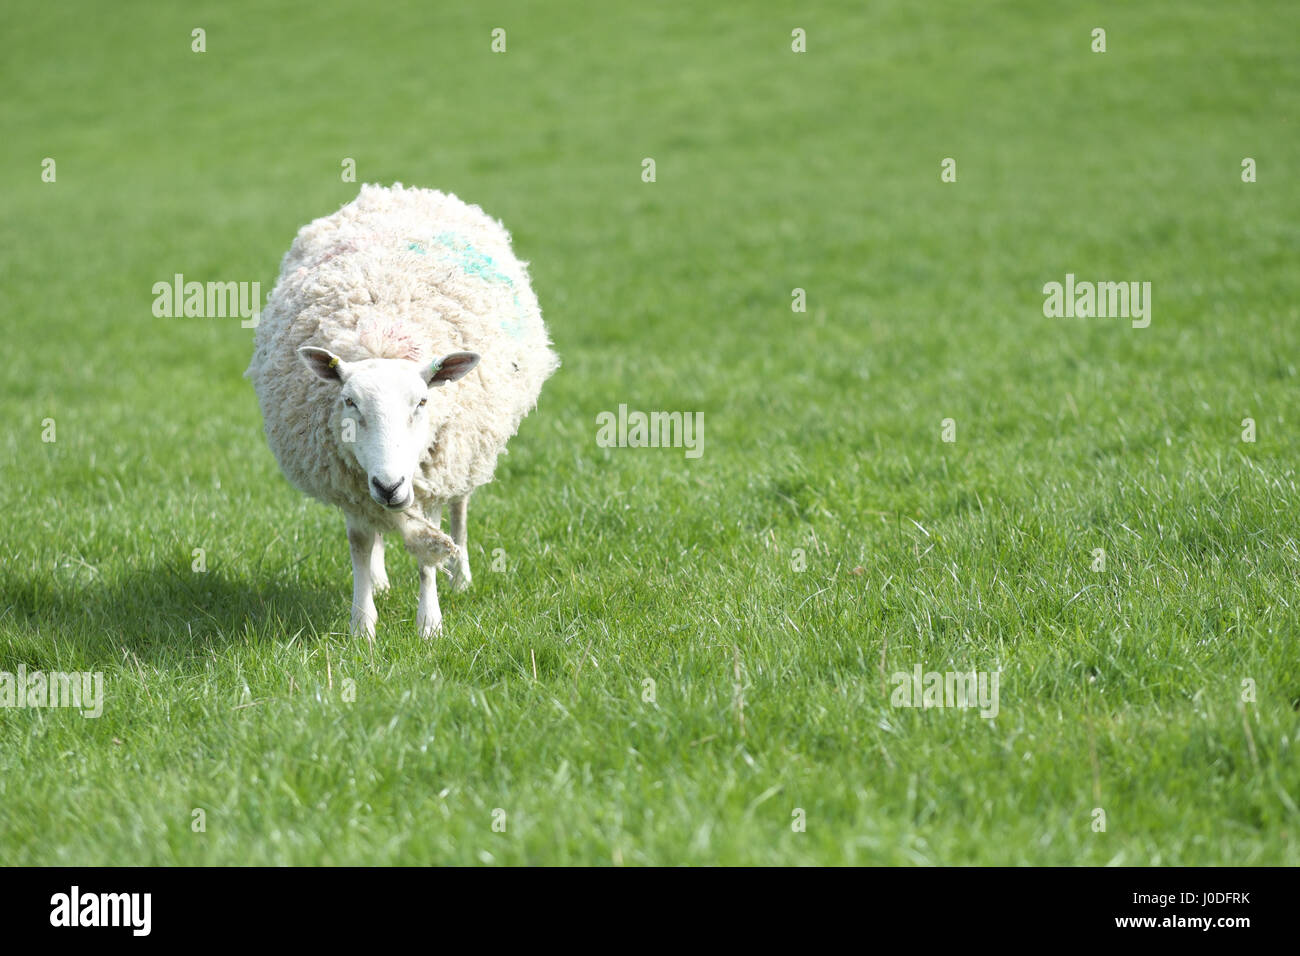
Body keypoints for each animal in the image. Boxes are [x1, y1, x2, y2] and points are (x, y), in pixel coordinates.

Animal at [246, 183, 559, 638]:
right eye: (349, 401)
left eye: (422, 402)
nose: (390, 486)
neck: (383, 335)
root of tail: (401, 191)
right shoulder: (351, 482)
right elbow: (360, 544)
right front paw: (363, 624)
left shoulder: (431, 474)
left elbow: (429, 549)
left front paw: (430, 624)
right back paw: (380, 578)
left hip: (463, 456)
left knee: (460, 509)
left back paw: (461, 576)